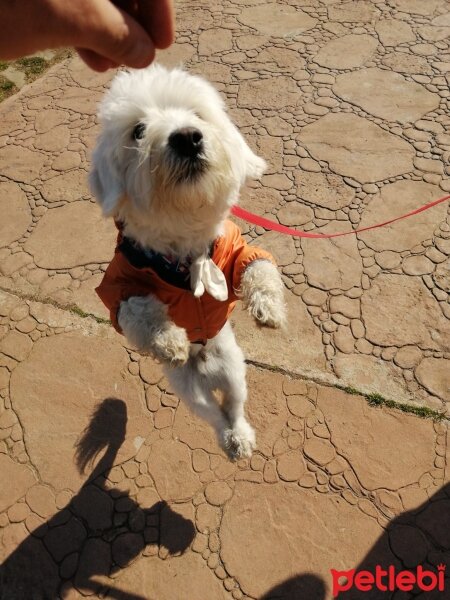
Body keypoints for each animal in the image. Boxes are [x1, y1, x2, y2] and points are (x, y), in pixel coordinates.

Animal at [90, 65, 284, 460]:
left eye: (197, 115)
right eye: (138, 130)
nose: (187, 137)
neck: (185, 248)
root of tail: (206, 364)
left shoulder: (233, 251)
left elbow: (258, 265)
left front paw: (268, 307)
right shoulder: (118, 284)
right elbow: (136, 310)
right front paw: (169, 340)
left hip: (234, 371)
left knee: (234, 406)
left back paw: (240, 437)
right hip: (187, 388)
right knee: (214, 414)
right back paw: (230, 438)